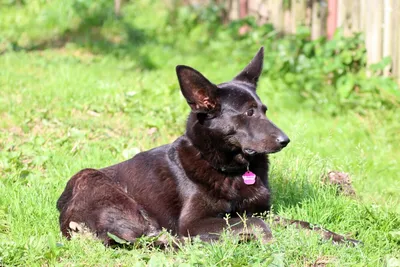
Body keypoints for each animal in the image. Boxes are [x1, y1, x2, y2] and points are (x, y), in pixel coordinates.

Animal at [56, 48, 360, 247]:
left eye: (264, 110)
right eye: (249, 113)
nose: (285, 140)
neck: (231, 169)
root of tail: (65, 214)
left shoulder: (262, 211)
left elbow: (303, 224)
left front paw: (342, 239)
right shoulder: (193, 224)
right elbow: (258, 226)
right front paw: (268, 241)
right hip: (101, 185)